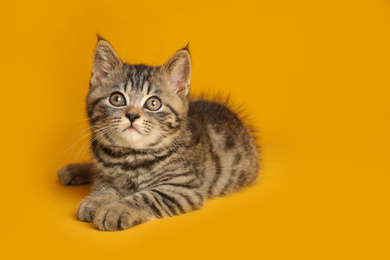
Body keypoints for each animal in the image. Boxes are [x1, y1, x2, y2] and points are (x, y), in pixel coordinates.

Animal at [57, 37, 258, 231]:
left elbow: (146, 197)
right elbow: (104, 186)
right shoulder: (105, 174)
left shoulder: (184, 187)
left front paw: (114, 210)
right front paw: (97, 200)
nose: (132, 115)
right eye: (117, 99)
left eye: (153, 103)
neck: (130, 157)